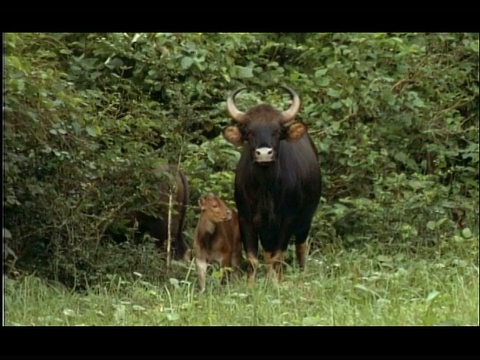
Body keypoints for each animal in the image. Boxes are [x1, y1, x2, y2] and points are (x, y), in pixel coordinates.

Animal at [222, 86, 320, 282]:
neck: (265, 190)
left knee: (300, 247)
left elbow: (278, 256)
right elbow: (253, 258)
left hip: (306, 218)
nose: (264, 153)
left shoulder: (288, 219)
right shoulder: (246, 218)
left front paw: (276, 282)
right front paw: (253, 284)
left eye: (276, 131)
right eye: (250, 132)